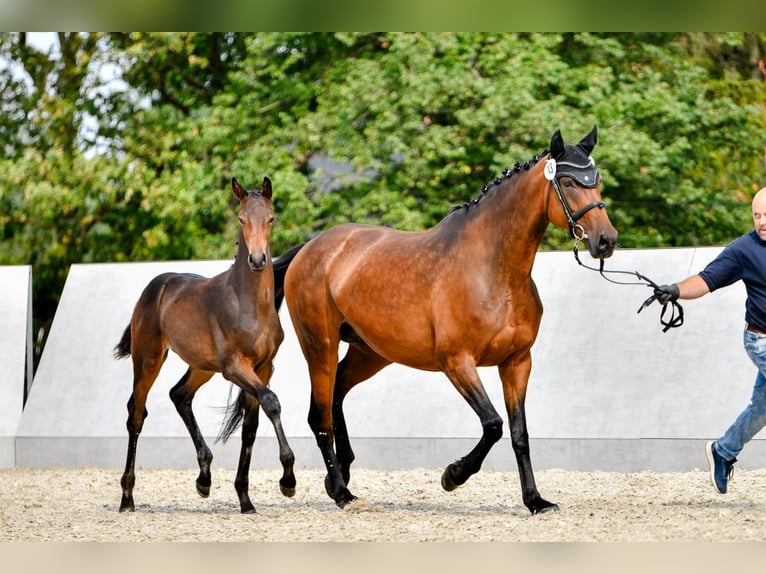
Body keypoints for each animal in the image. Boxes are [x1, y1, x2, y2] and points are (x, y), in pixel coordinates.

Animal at [114, 178, 296, 516]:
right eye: (241, 219)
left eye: (271, 218)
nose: (257, 260)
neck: (250, 306)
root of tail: (155, 286)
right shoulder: (234, 367)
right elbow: (272, 401)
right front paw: (287, 480)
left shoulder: (263, 367)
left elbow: (251, 424)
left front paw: (245, 499)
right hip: (148, 359)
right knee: (136, 414)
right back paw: (127, 498)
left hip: (201, 366)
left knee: (179, 395)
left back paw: (204, 478)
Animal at [284, 128, 620, 516]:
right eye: (566, 181)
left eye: (596, 180)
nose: (606, 241)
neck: (493, 271)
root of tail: (310, 248)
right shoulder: (457, 362)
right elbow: (493, 424)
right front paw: (452, 475)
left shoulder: (517, 362)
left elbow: (519, 433)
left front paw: (535, 501)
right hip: (319, 348)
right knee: (319, 416)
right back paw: (341, 493)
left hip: (370, 353)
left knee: (336, 397)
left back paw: (341, 478)